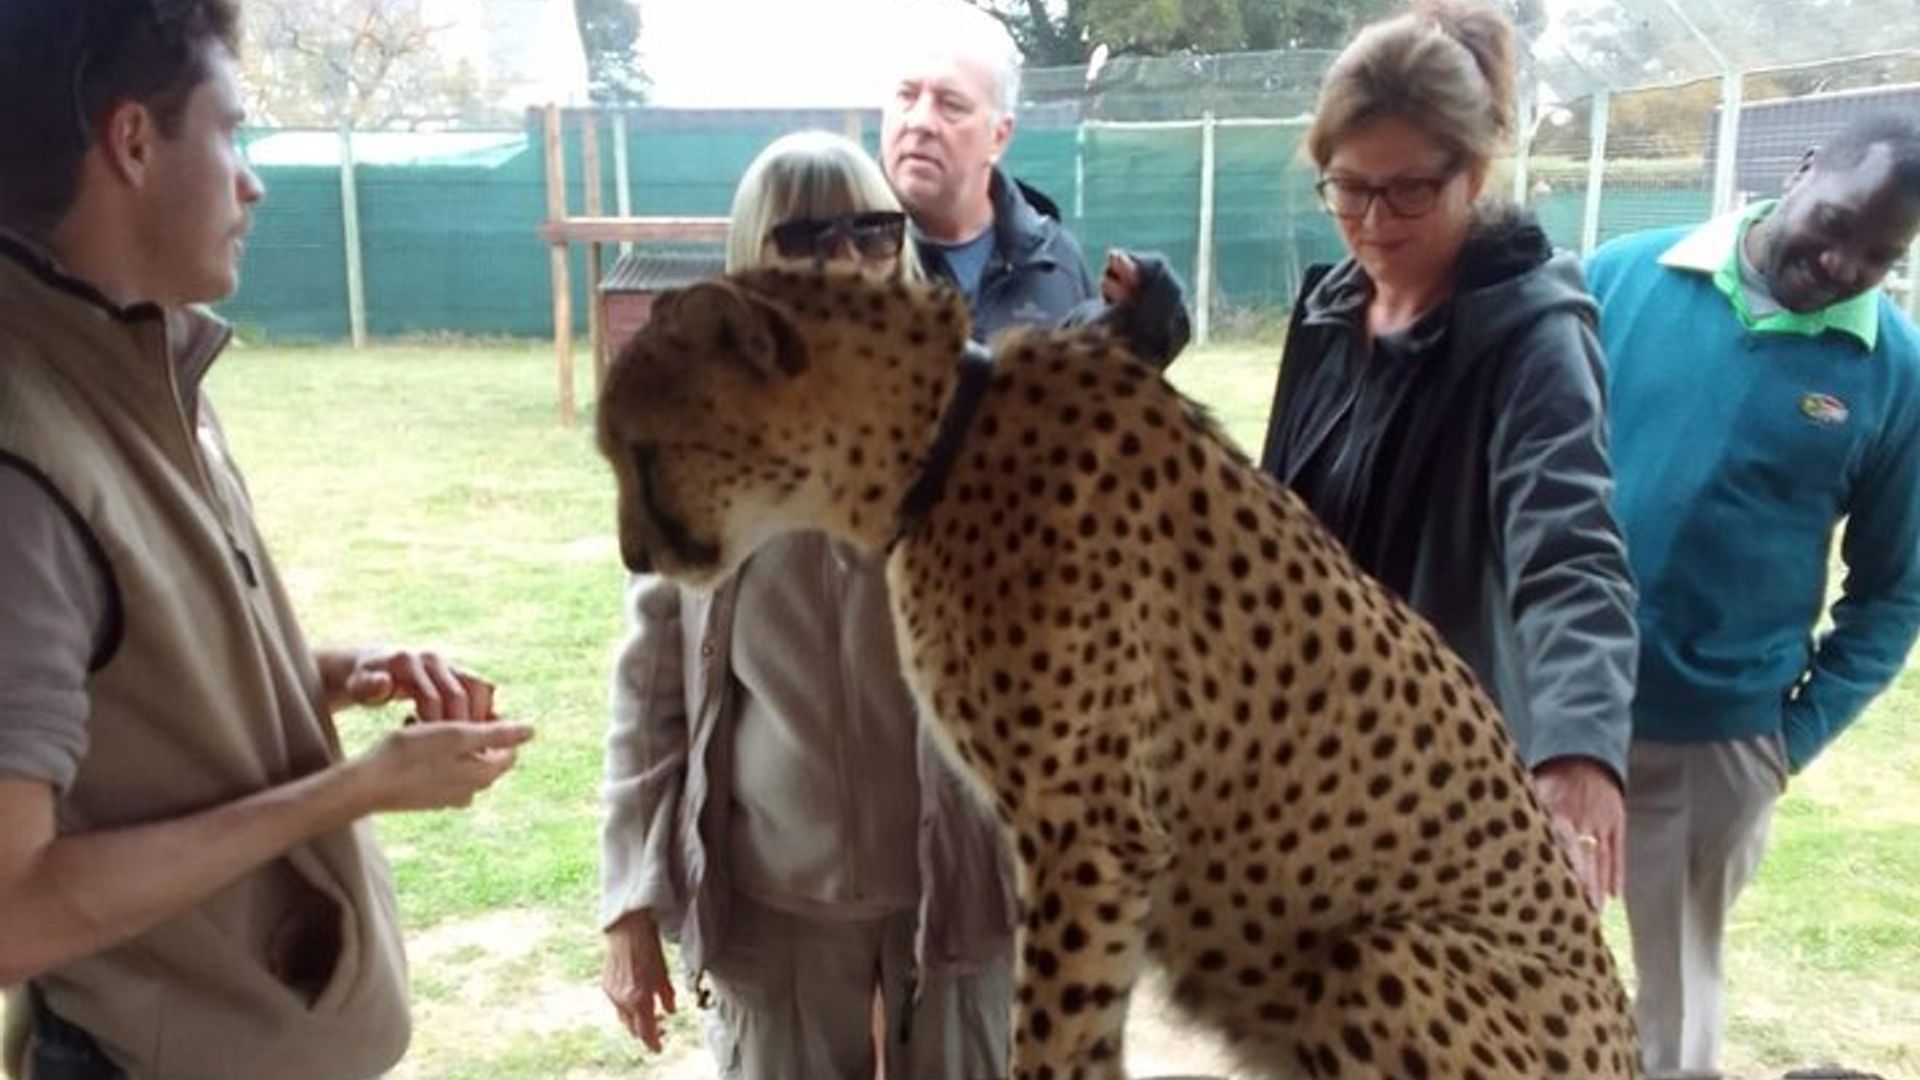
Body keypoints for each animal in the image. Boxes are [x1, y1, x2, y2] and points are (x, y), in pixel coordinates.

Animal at [596, 265, 1639, 1080]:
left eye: (640, 453)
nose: (634, 557)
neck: (937, 442)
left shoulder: (1085, 829)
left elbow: (1057, 1033)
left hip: (1384, 952)